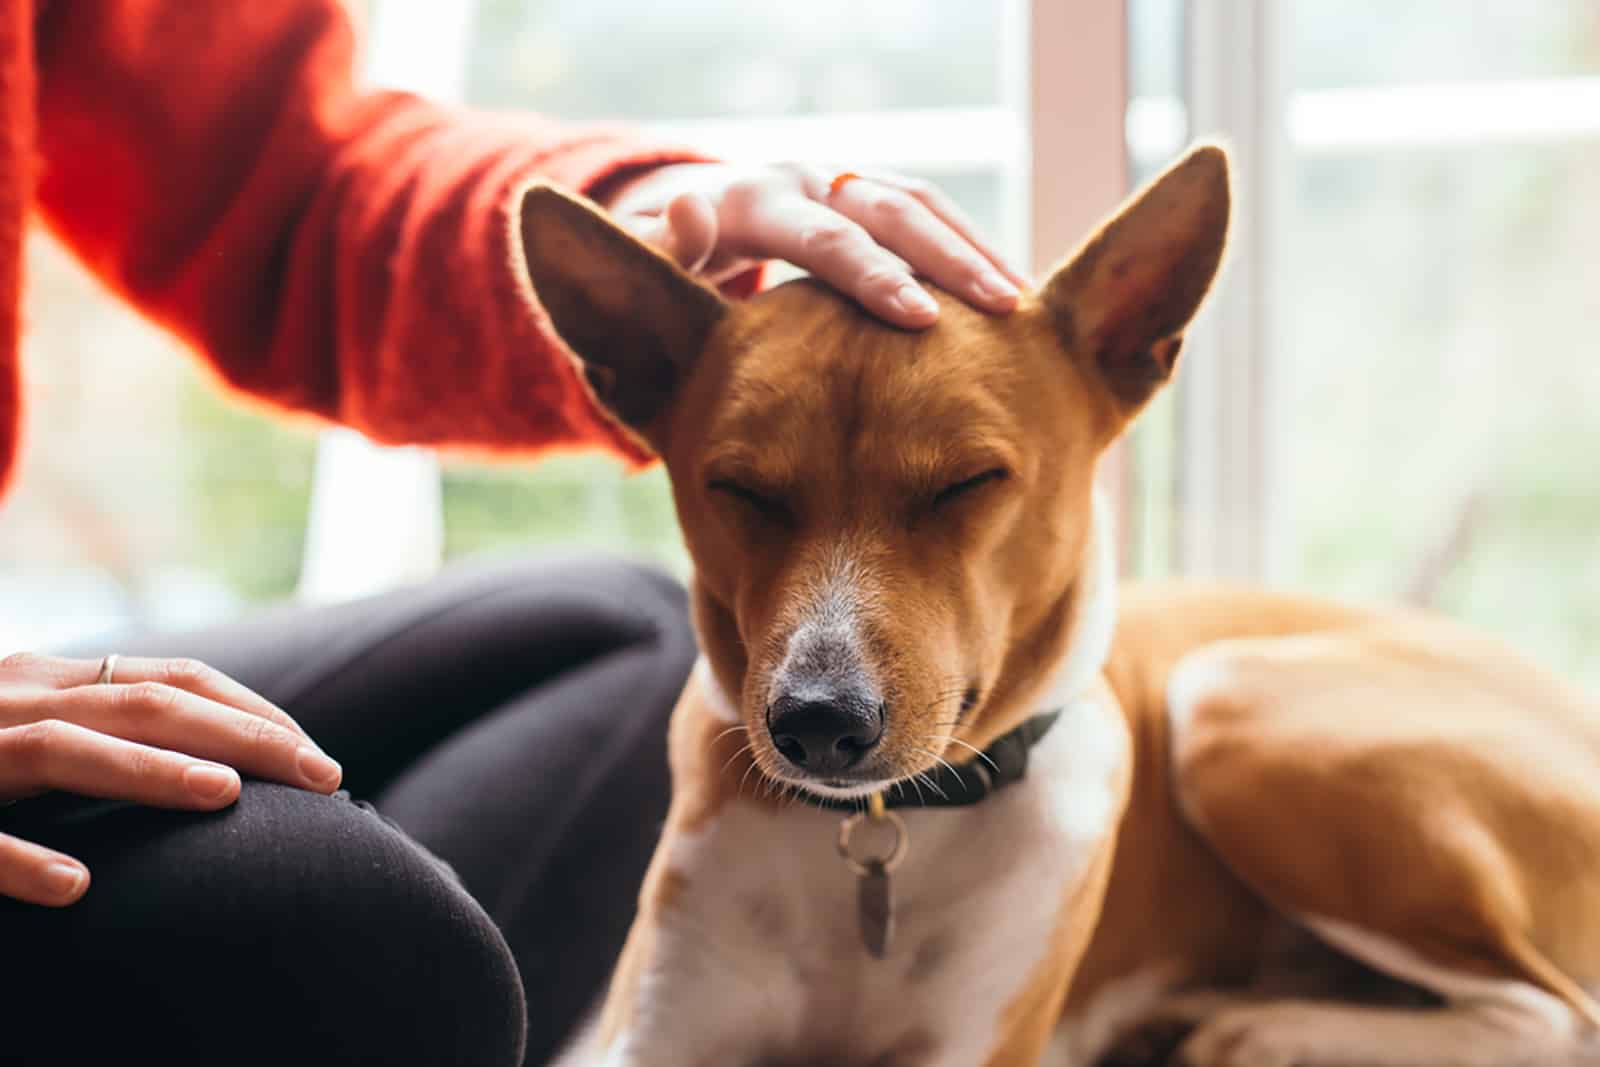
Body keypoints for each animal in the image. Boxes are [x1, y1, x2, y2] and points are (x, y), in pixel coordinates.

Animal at [531, 143, 1600, 1067]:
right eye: (740, 489)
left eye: (968, 481)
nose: (820, 722)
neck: (878, 843)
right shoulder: (648, 1035)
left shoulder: (975, 1049)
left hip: (1233, 704)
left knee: (1557, 1014)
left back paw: (1255, 1028)